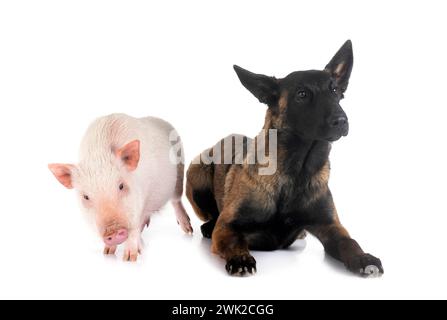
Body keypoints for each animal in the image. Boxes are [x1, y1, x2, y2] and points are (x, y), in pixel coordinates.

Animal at [49, 114, 192, 262]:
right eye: (86, 196)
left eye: (121, 186)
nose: (113, 232)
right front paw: (107, 252)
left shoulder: (139, 203)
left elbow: (134, 228)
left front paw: (129, 258)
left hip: (180, 172)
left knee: (176, 200)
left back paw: (188, 230)